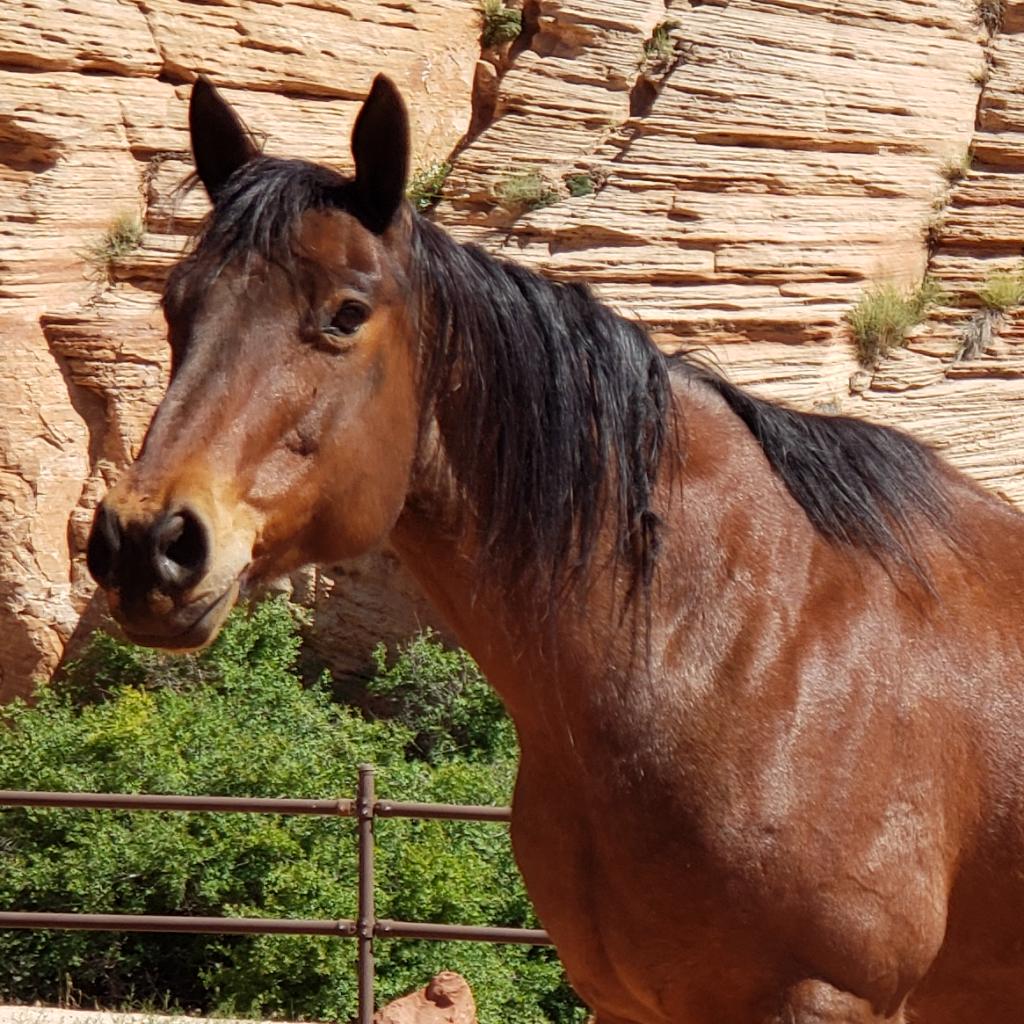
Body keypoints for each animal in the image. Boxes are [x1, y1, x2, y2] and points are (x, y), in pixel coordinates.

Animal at [85, 73, 1024, 1023]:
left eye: (347, 312)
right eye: (175, 307)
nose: (144, 545)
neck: (740, 642)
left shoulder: (828, 999)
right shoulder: (627, 1003)